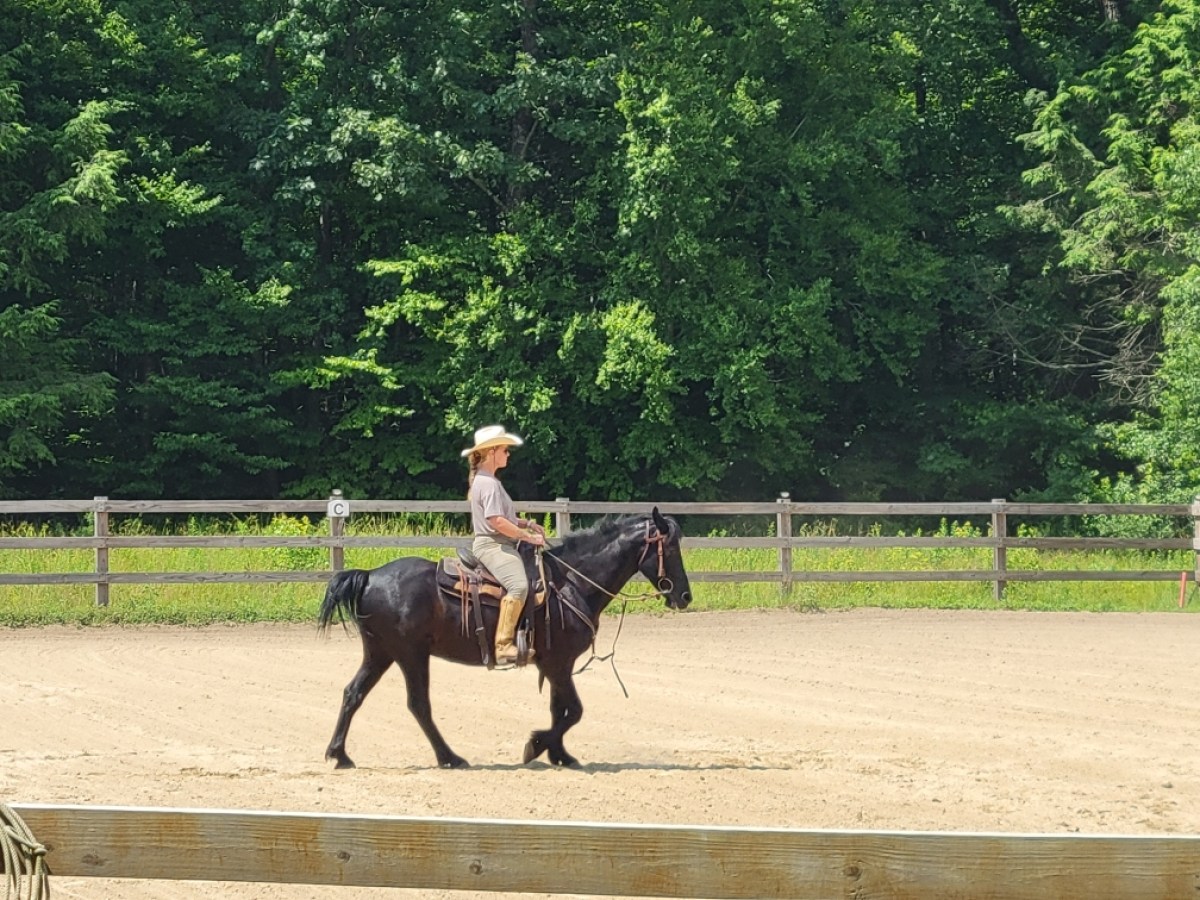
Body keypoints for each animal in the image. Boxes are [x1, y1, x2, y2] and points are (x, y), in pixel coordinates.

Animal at [317, 507, 692, 768]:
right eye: (671, 548)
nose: (685, 596)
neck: (571, 582)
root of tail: (370, 576)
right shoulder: (559, 664)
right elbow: (574, 710)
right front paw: (536, 745)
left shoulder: (554, 664)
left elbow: (559, 709)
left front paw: (560, 755)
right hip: (410, 655)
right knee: (418, 704)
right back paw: (450, 758)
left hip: (381, 653)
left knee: (353, 693)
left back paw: (340, 755)